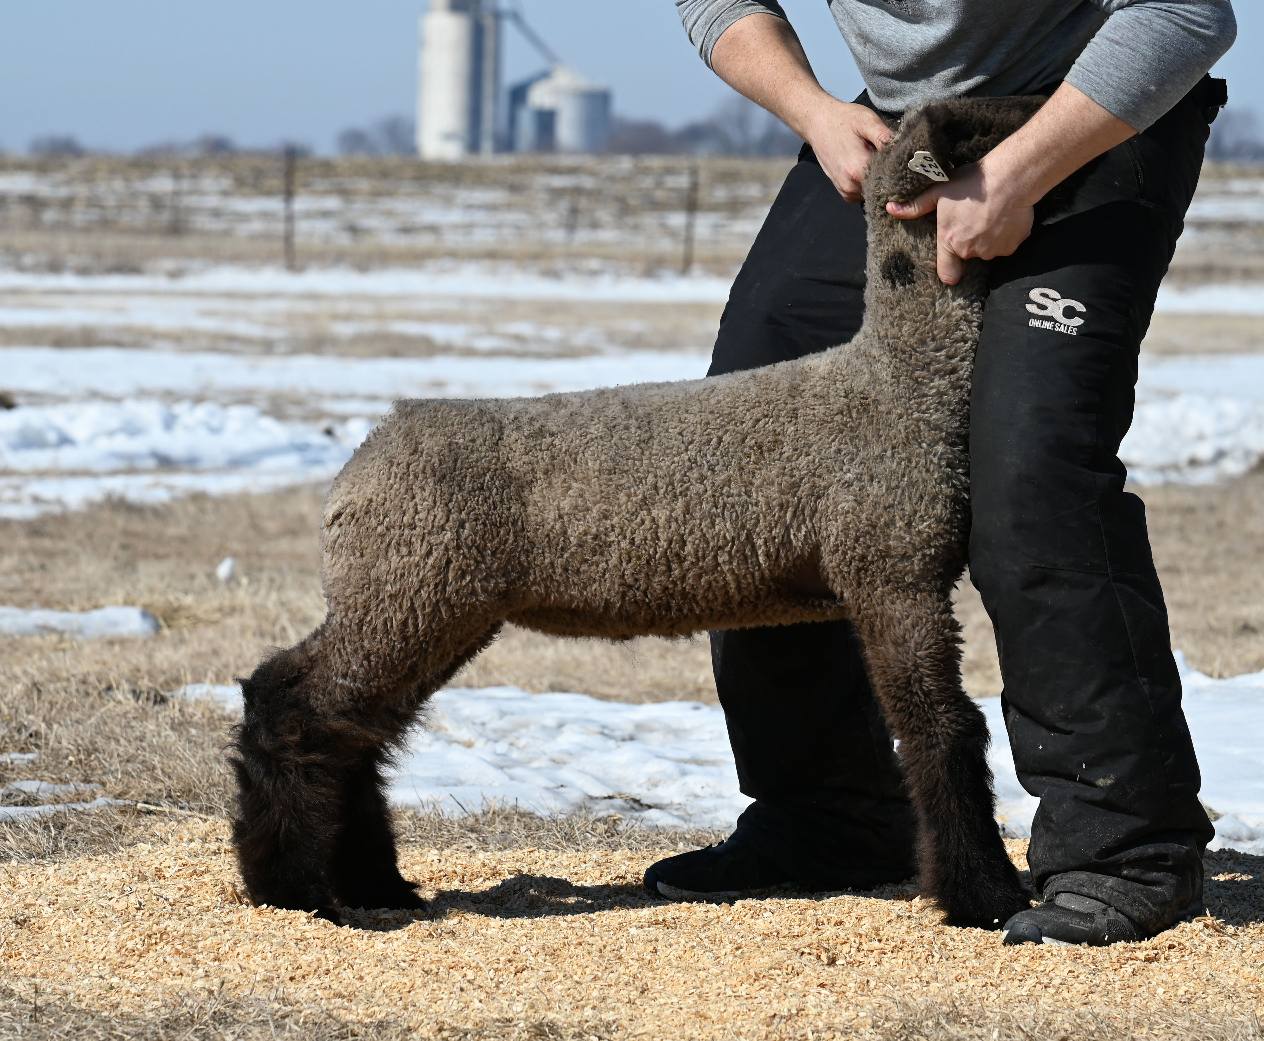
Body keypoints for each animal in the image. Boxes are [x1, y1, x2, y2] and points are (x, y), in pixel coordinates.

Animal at [232, 95, 1046, 930]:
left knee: (350, 727)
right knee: (293, 703)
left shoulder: (892, 578)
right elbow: (942, 727)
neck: (897, 382)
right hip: (410, 589)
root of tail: (356, 470)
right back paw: (295, 889)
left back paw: (372, 883)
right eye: (980, 123)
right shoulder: (893, 571)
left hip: (430, 601)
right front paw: (984, 896)